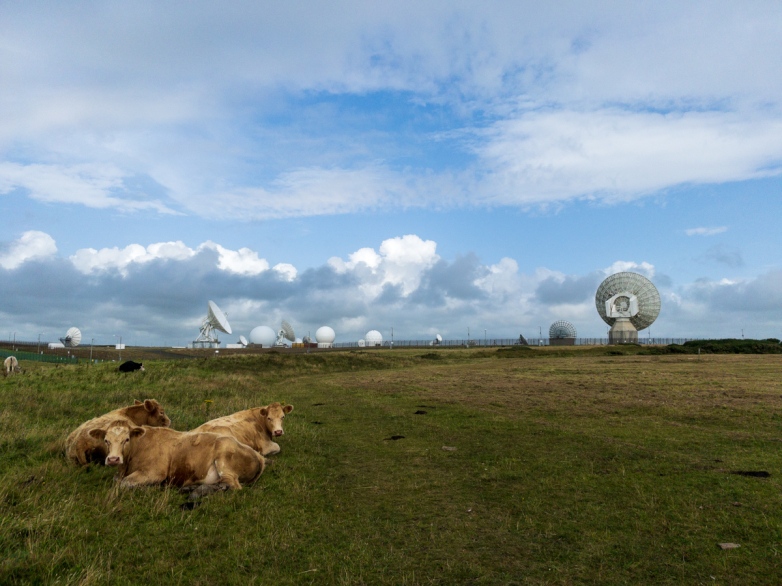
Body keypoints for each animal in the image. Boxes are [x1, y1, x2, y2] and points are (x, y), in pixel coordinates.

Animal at [88, 420, 265, 492]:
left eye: (126, 439)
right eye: (106, 440)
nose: (113, 459)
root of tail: (259, 456)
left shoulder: (154, 472)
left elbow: (124, 483)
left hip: (224, 461)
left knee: (233, 486)